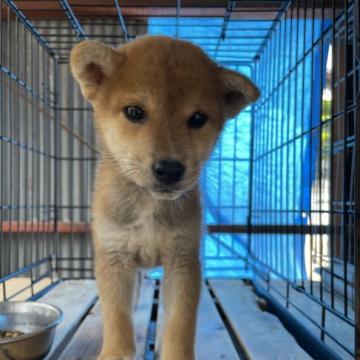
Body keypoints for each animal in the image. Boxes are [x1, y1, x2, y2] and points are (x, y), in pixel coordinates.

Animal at [69, 35, 258, 360]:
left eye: (198, 118)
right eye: (134, 112)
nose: (169, 169)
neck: (149, 204)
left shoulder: (183, 260)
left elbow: (180, 322)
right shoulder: (114, 257)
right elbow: (116, 318)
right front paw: (116, 351)